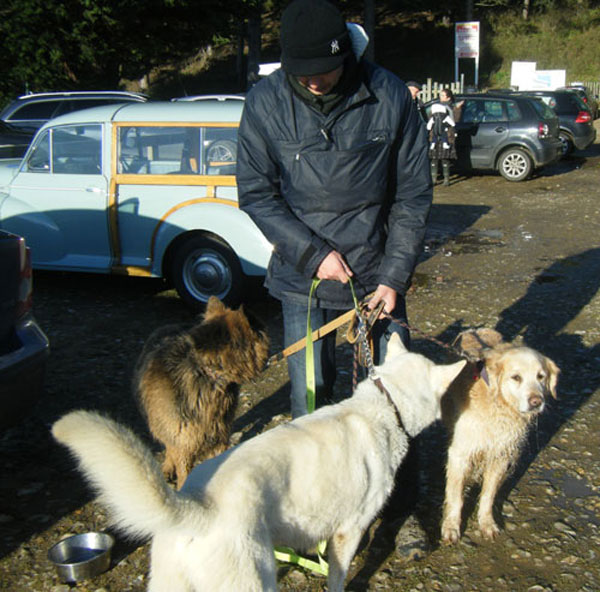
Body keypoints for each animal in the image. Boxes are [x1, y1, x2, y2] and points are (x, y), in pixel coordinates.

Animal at [136, 298, 270, 488]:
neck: (207, 373)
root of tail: (168, 325)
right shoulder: (183, 442)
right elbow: (182, 467)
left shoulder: (219, 437)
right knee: (168, 445)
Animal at [438, 330, 560, 544]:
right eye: (516, 377)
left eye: (541, 376)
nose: (536, 402)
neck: (499, 405)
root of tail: (475, 330)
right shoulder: (460, 453)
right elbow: (455, 497)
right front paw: (451, 527)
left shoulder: (501, 455)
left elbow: (488, 495)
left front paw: (487, 524)